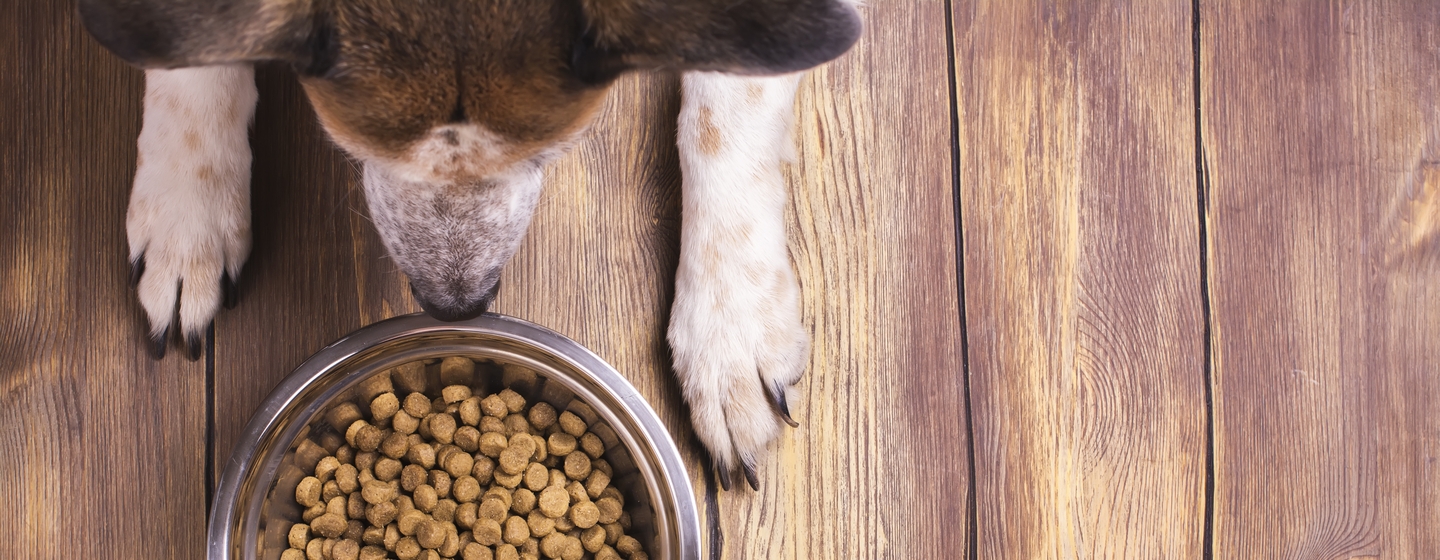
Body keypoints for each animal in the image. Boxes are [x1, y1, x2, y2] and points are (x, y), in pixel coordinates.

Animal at [75, 0, 852, 489]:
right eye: (349, 145)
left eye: (552, 152)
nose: (457, 305)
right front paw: (187, 211)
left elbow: (729, 105)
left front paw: (730, 332)